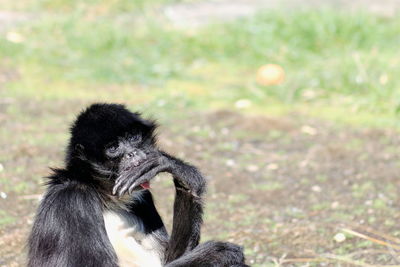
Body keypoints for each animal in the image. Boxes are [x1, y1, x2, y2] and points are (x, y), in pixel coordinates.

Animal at [27, 103, 247, 266]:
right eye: (113, 148)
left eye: (133, 138)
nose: (132, 153)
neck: (104, 196)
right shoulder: (73, 199)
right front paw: (218, 252)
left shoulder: (141, 194)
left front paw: (178, 169)